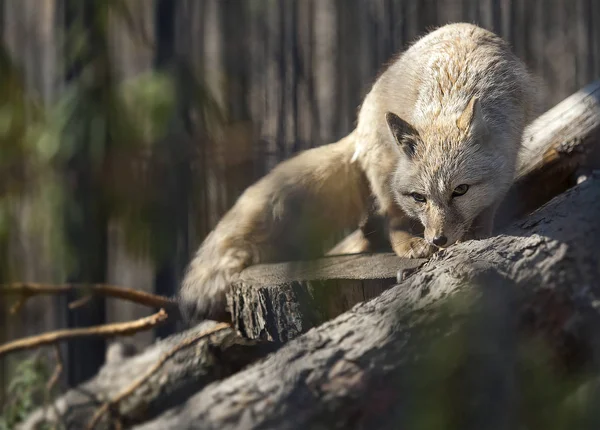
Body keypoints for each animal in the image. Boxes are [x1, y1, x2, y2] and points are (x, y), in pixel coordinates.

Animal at [179, 21, 540, 322]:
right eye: (420, 198)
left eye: (460, 190)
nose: (438, 239)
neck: (451, 95)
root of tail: (361, 120)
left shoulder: (507, 161)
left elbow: (487, 208)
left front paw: (478, 232)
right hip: (384, 175)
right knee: (391, 220)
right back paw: (409, 245)